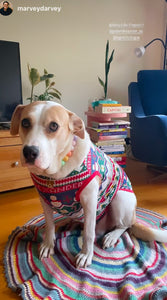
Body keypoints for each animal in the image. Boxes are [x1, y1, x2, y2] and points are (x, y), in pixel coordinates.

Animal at [10, 102, 167, 268]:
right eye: (25, 122)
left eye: (53, 126)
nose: (29, 152)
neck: (55, 173)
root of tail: (134, 217)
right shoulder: (45, 201)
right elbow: (49, 225)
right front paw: (48, 244)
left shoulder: (90, 202)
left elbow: (88, 234)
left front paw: (86, 254)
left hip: (120, 198)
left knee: (123, 226)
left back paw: (111, 235)